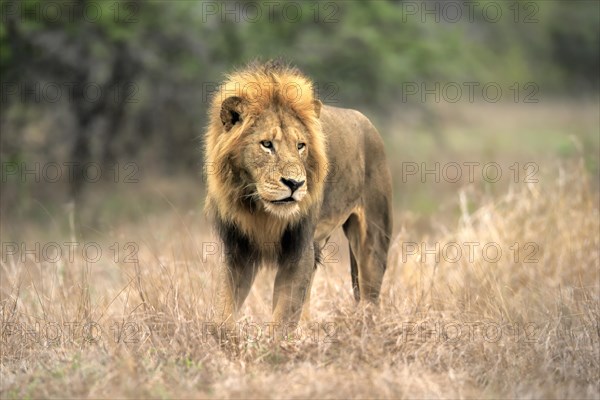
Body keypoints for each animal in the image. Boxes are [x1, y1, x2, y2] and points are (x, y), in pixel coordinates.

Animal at [204, 61, 394, 340]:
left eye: (300, 145)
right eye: (267, 144)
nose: (294, 184)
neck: (259, 208)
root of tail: (366, 121)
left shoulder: (299, 247)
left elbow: (284, 313)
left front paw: (275, 346)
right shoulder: (237, 247)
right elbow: (224, 306)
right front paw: (224, 341)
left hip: (373, 236)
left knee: (370, 295)